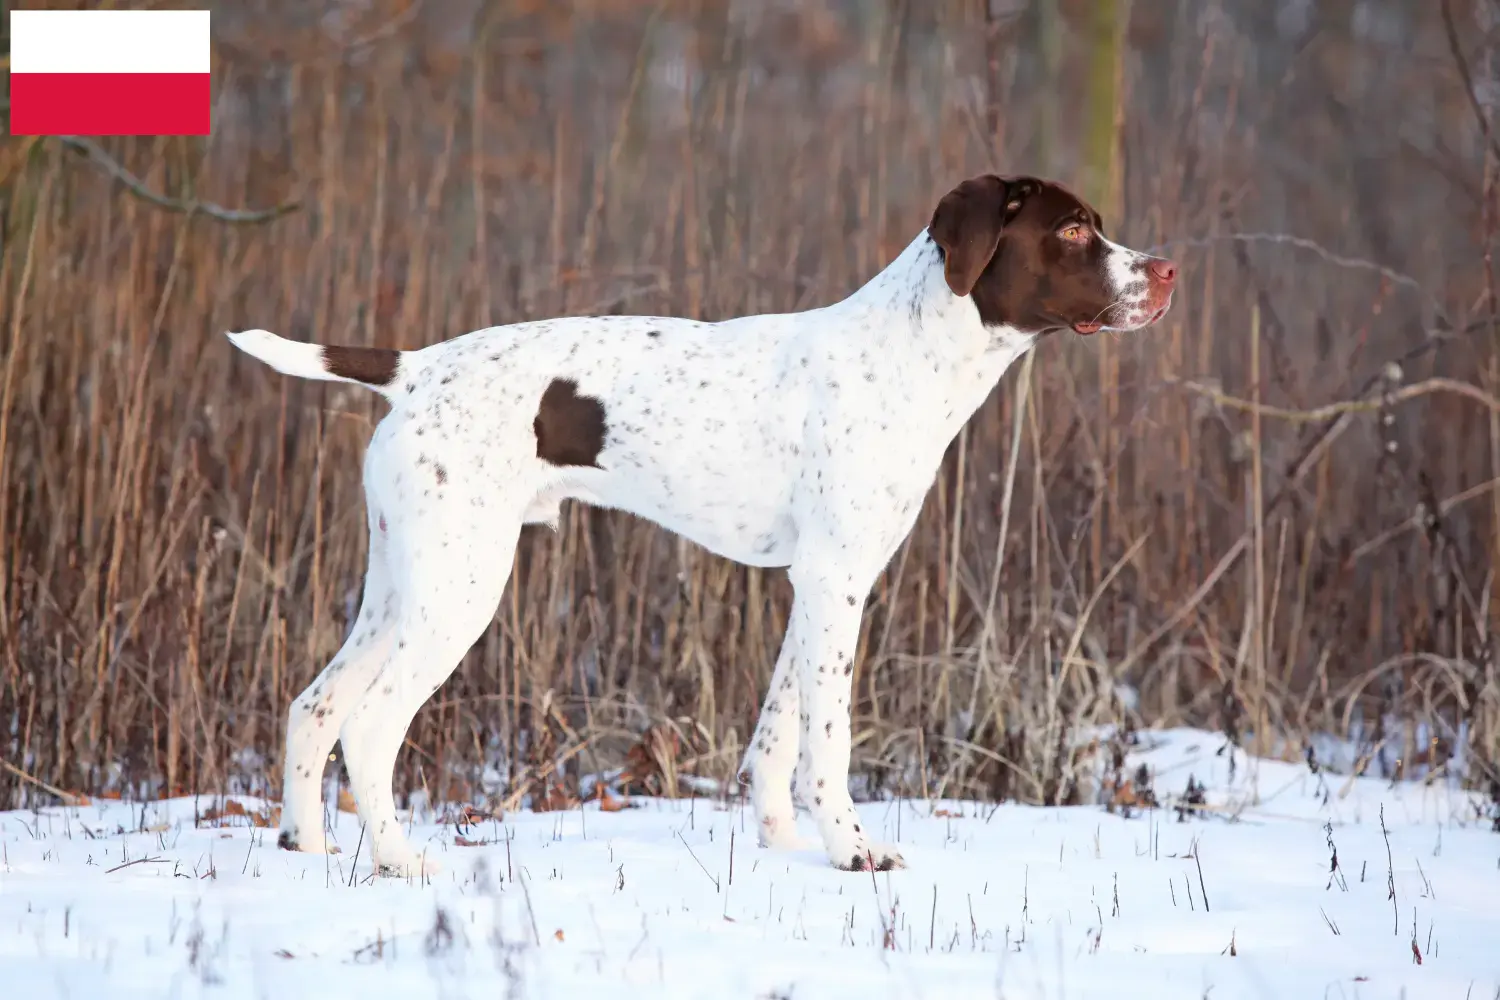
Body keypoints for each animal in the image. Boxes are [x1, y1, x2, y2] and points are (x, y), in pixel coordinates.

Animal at [228, 173, 1176, 875]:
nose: (1167, 272)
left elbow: (779, 734)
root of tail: (417, 368)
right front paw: (853, 851)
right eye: (1071, 232)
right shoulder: (835, 581)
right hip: (459, 590)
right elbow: (827, 743)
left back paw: (307, 850)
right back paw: (399, 861)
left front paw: (783, 844)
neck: (910, 354)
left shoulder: (819, 585)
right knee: (368, 724)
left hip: (402, 585)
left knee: (313, 706)